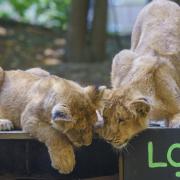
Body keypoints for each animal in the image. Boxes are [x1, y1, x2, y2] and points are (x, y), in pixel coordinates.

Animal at [96, 0, 180, 148]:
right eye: (106, 116)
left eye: (121, 119)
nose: (108, 139)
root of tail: (161, 1)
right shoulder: (121, 58)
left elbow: (176, 116)